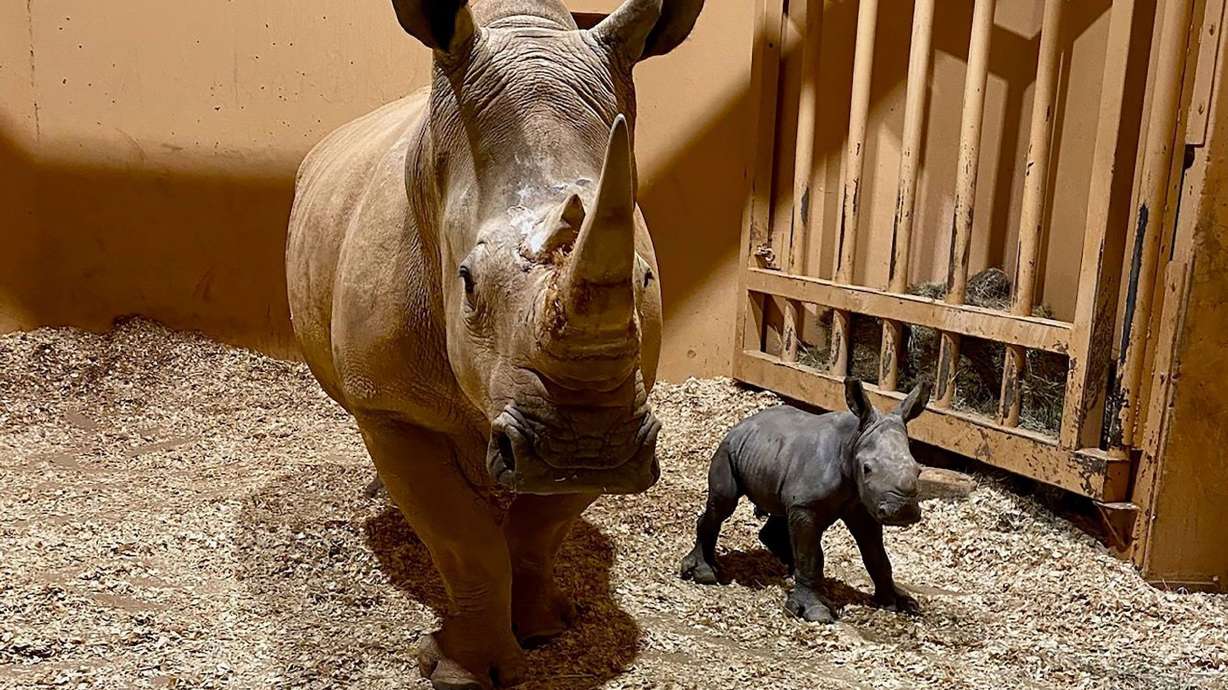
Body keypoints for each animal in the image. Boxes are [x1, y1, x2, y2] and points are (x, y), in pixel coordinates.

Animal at [285, 1, 702, 687]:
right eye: (467, 281)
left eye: (644, 279)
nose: (588, 449)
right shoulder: (391, 406)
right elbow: (464, 540)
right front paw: (461, 671)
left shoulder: (622, 404)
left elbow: (541, 527)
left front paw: (544, 630)